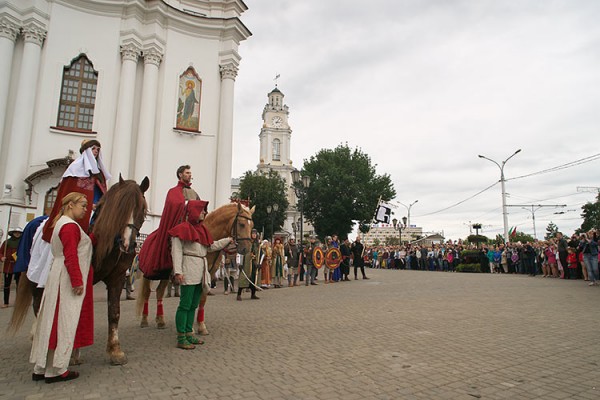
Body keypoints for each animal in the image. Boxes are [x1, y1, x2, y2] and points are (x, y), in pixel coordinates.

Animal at [8, 176, 149, 366]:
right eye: (120, 207)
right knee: (38, 305)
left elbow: (114, 312)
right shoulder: (82, 277)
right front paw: (73, 353)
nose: (128, 244)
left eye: (143, 209)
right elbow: (77, 311)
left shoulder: (117, 277)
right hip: (34, 277)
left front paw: (115, 351)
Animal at [138, 202, 255, 332]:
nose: (246, 249)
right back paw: (144, 320)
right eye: (242, 224)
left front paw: (201, 326)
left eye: (252, 225)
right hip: (149, 274)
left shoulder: (207, 274)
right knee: (147, 293)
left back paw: (160, 320)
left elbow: (202, 300)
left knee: (159, 292)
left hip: (165, 275)